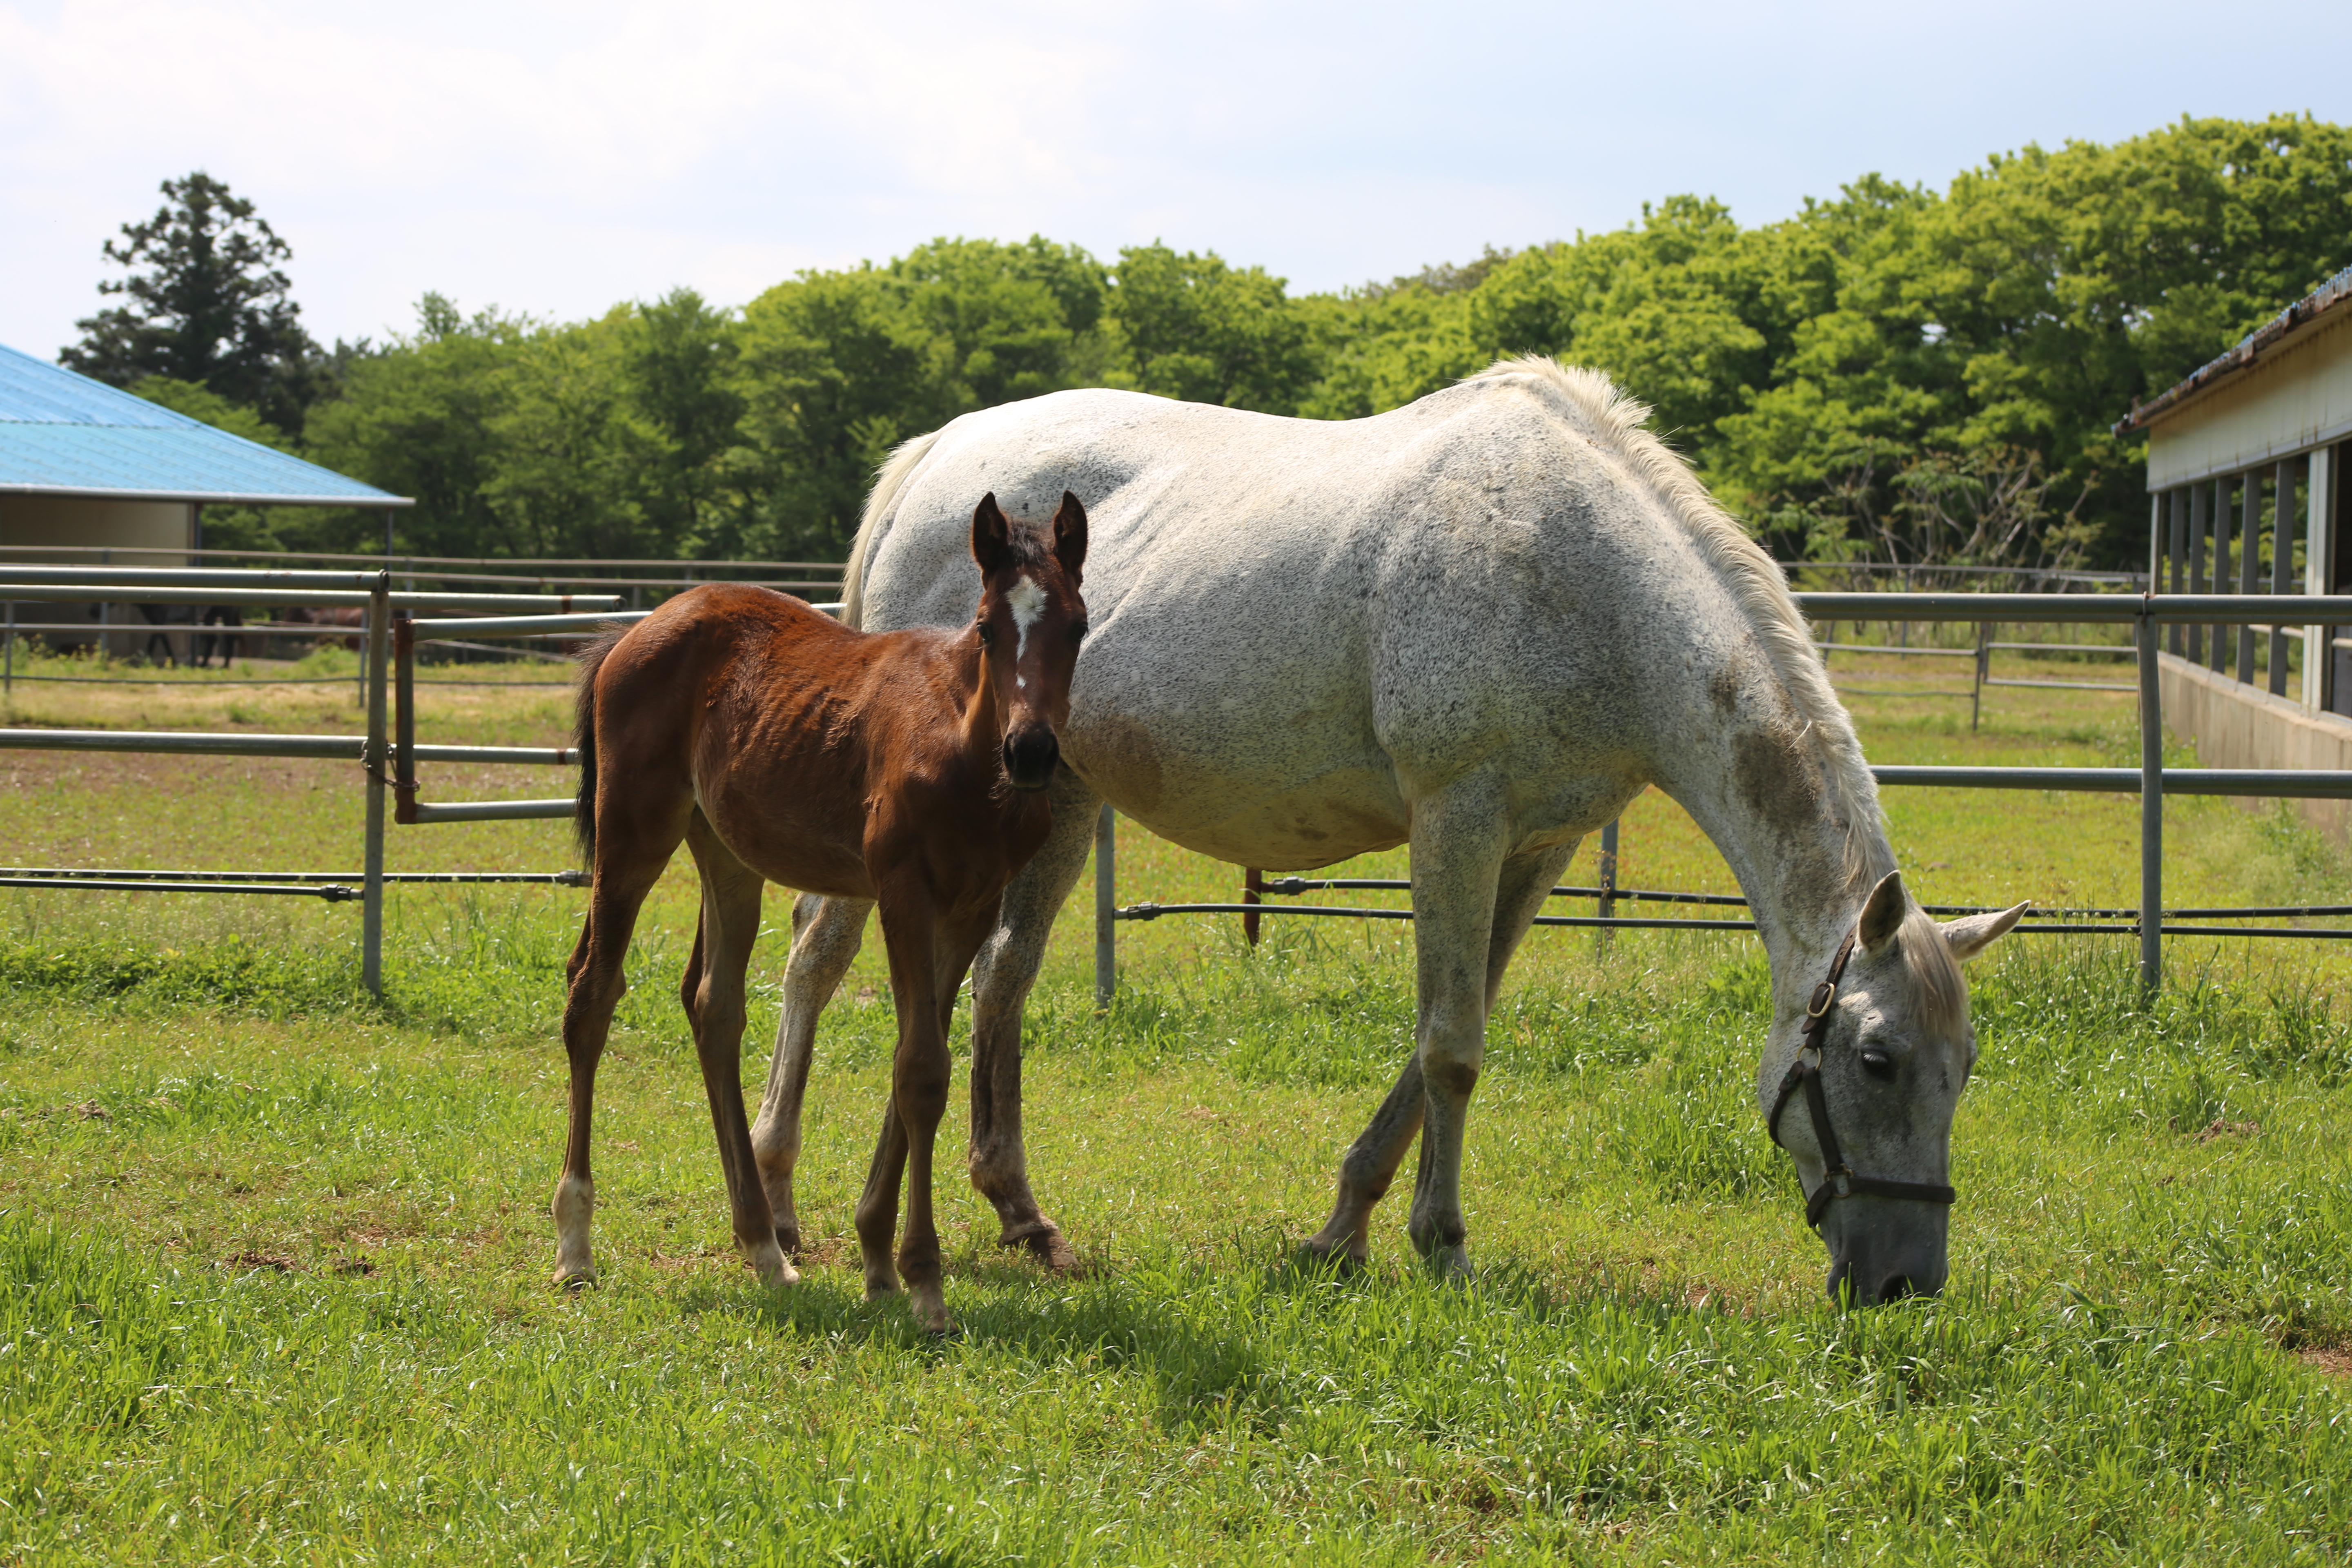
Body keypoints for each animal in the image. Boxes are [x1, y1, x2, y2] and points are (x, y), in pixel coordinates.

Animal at [555, 496, 1087, 1335]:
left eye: (1078, 627)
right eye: (985, 629)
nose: (1031, 752)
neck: (966, 752)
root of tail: (636, 630)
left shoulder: (971, 906)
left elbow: (919, 1063)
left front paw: (879, 1261)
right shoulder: (903, 892)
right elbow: (922, 1071)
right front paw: (923, 1281)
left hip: (726, 853)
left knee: (714, 1006)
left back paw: (764, 1250)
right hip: (634, 830)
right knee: (593, 994)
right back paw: (576, 1245)